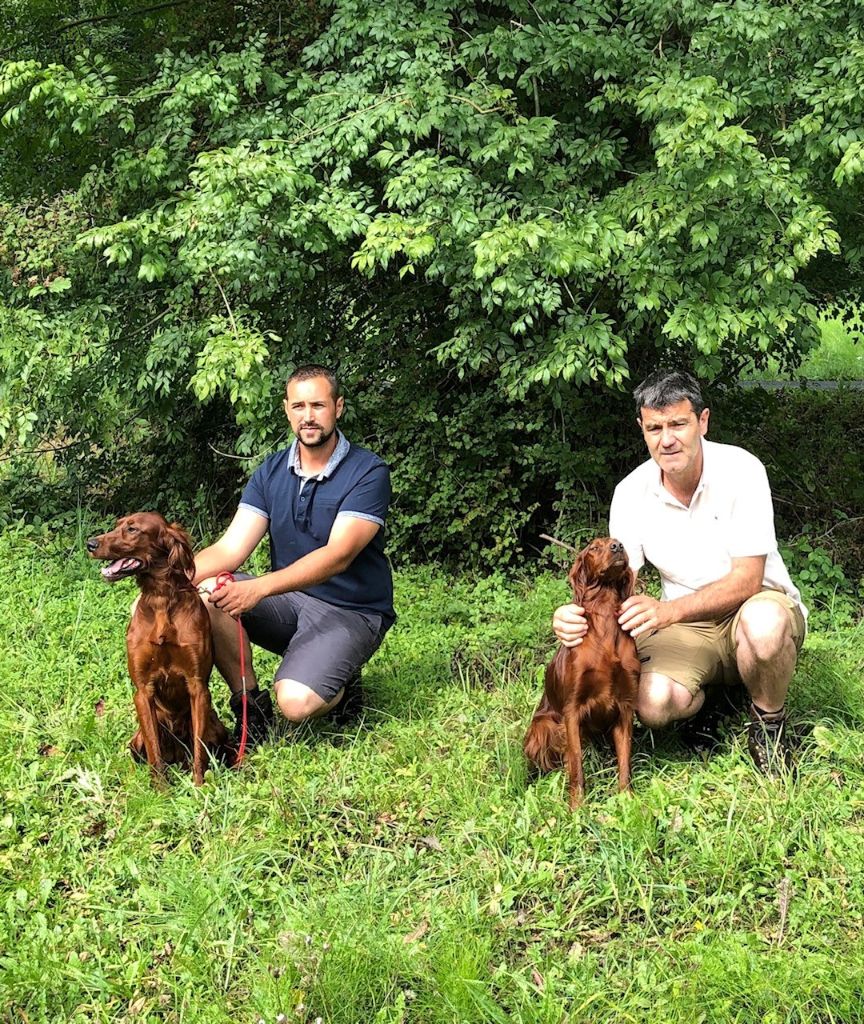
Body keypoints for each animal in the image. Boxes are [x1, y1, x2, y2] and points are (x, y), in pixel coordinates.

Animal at [86, 512, 234, 782]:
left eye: (132, 529)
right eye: (116, 525)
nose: (90, 544)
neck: (161, 598)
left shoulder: (197, 686)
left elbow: (200, 750)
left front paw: (198, 786)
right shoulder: (143, 691)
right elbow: (155, 753)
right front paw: (160, 789)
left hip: (216, 727)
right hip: (136, 739)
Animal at [524, 536, 638, 806]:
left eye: (618, 542)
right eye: (594, 548)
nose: (618, 547)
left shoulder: (625, 706)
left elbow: (625, 762)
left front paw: (627, 801)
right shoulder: (572, 711)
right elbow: (576, 765)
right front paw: (576, 808)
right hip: (542, 727)